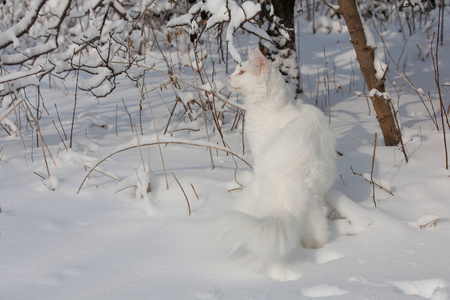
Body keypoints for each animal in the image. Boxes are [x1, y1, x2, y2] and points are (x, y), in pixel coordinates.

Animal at [215, 48, 338, 278]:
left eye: (241, 71)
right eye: (236, 70)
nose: (228, 78)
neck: (276, 108)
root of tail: (296, 182)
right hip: (315, 212)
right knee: (316, 238)